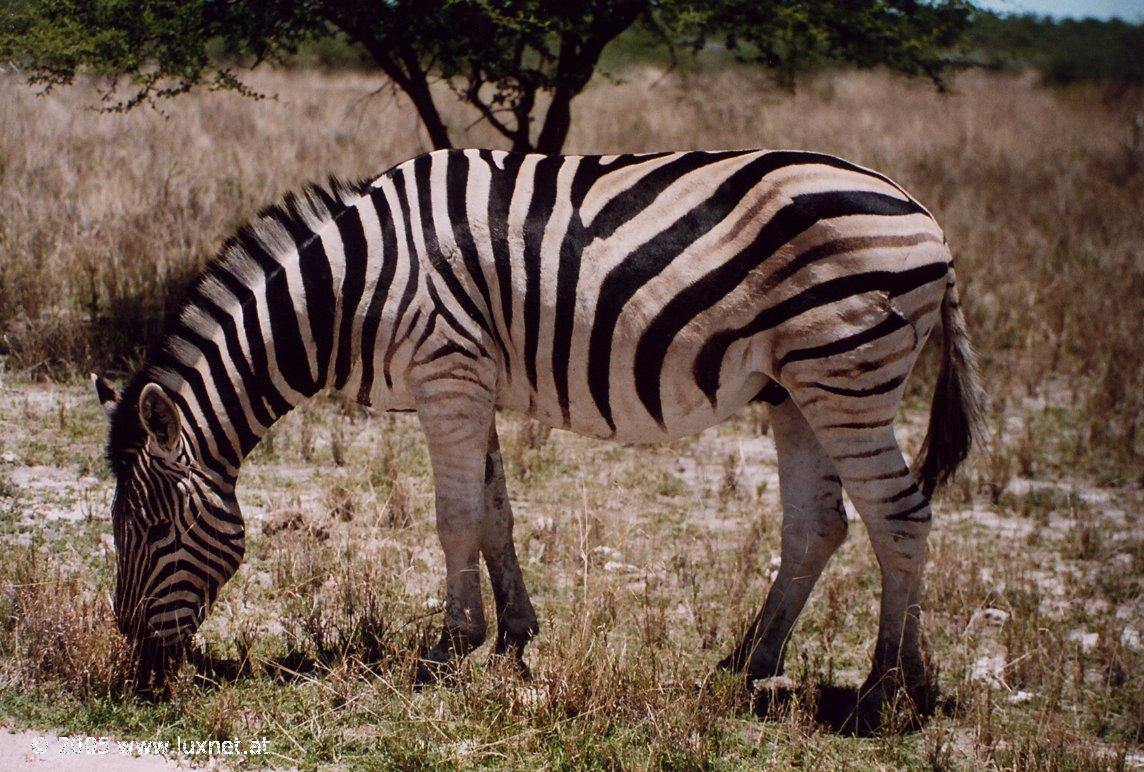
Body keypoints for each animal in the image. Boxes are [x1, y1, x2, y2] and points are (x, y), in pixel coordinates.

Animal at [96, 147, 983, 731]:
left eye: (153, 528)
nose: (137, 659)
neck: (345, 290)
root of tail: (927, 215)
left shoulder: (447, 373)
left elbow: (456, 518)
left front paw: (446, 652)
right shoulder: (470, 379)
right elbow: (496, 515)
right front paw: (512, 641)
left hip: (846, 374)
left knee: (899, 518)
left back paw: (888, 691)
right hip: (798, 388)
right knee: (818, 526)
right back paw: (749, 666)